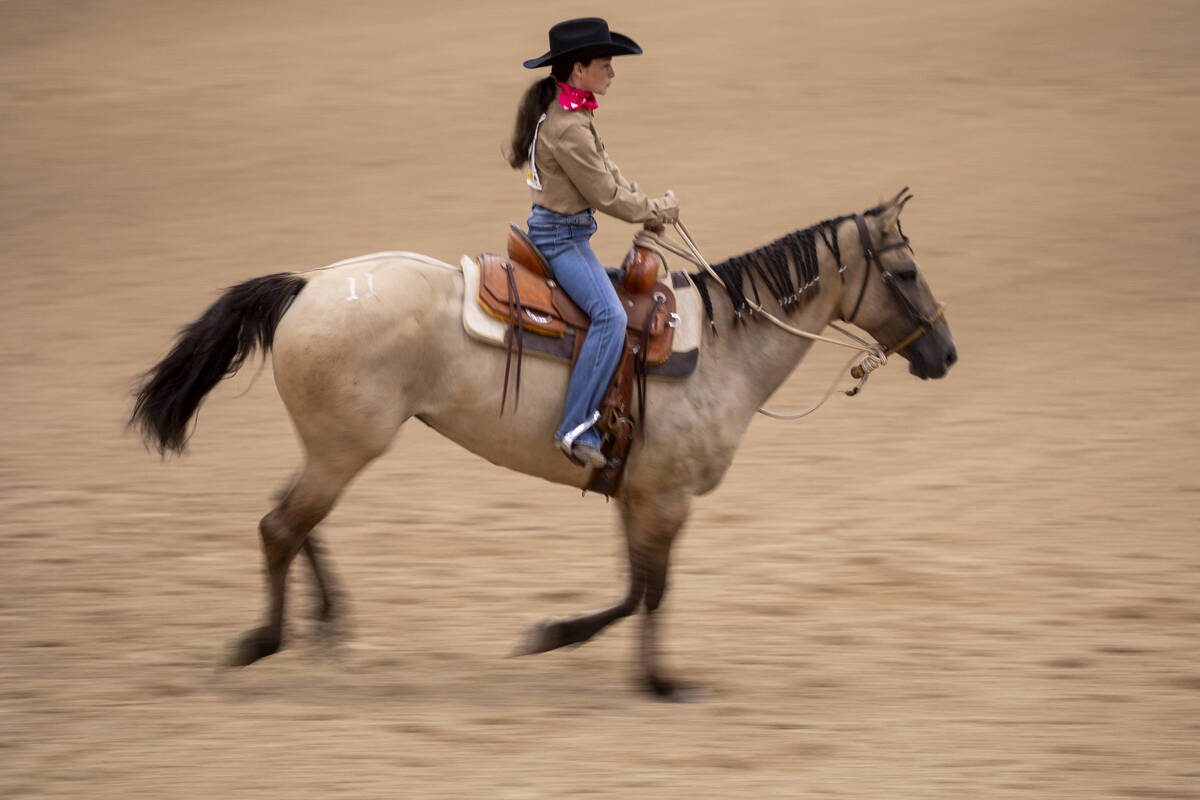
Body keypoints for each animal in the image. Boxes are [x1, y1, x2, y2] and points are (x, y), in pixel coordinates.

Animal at [131, 188, 955, 700]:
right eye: (907, 269)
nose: (946, 354)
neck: (723, 348)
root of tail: (310, 282)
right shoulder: (666, 498)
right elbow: (652, 591)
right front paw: (654, 679)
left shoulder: (636, 494)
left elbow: (634, 589)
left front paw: (560, 635)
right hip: (344, 449)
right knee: (281, 526)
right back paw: (263, 641)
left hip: (337, 448)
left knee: (295, 521)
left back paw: (329, 624)